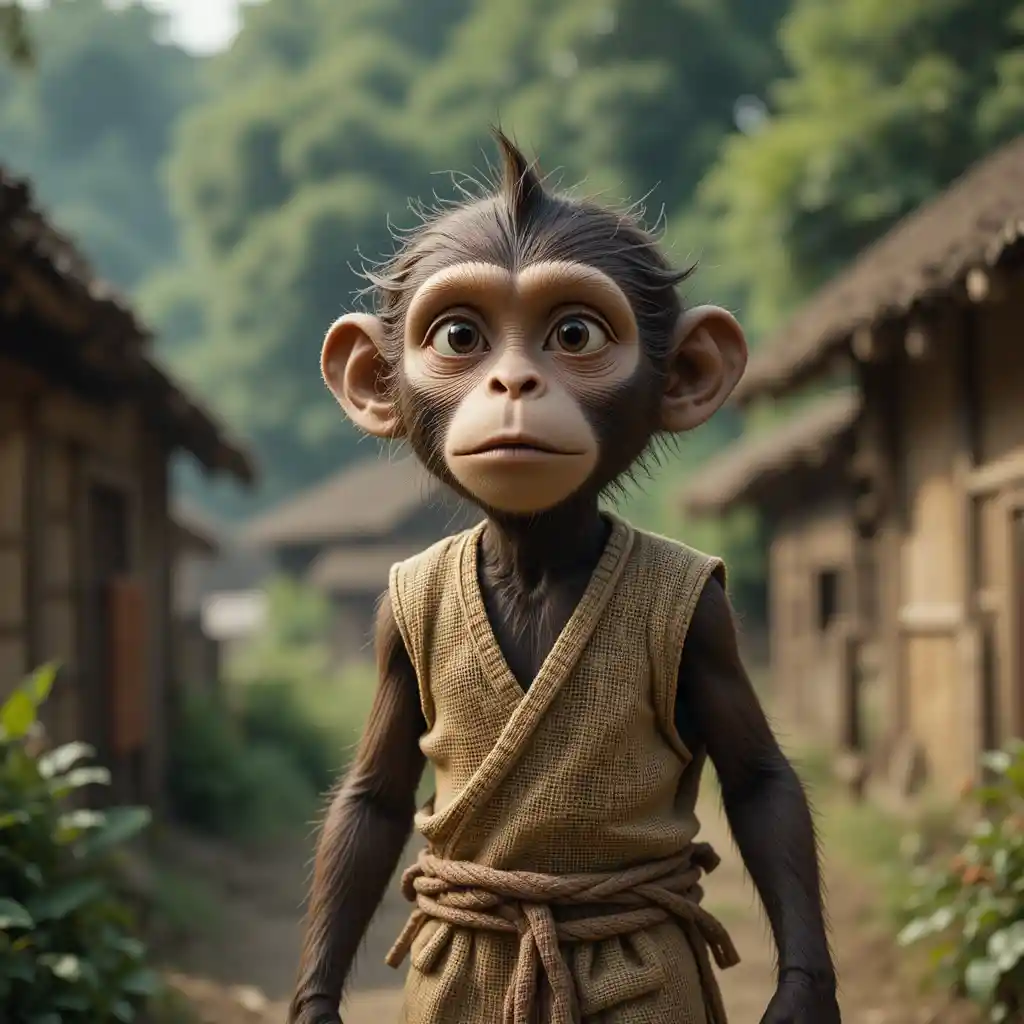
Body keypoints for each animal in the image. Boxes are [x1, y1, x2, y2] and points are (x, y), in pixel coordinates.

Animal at [287, 130, 841, 1024]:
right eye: (459, 338)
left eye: (575, 335)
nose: (514, 383)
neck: (538, 557)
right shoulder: (388, 633)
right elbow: (373, 797)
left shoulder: (709, 624)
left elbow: (760, 782)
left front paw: (802, 995)